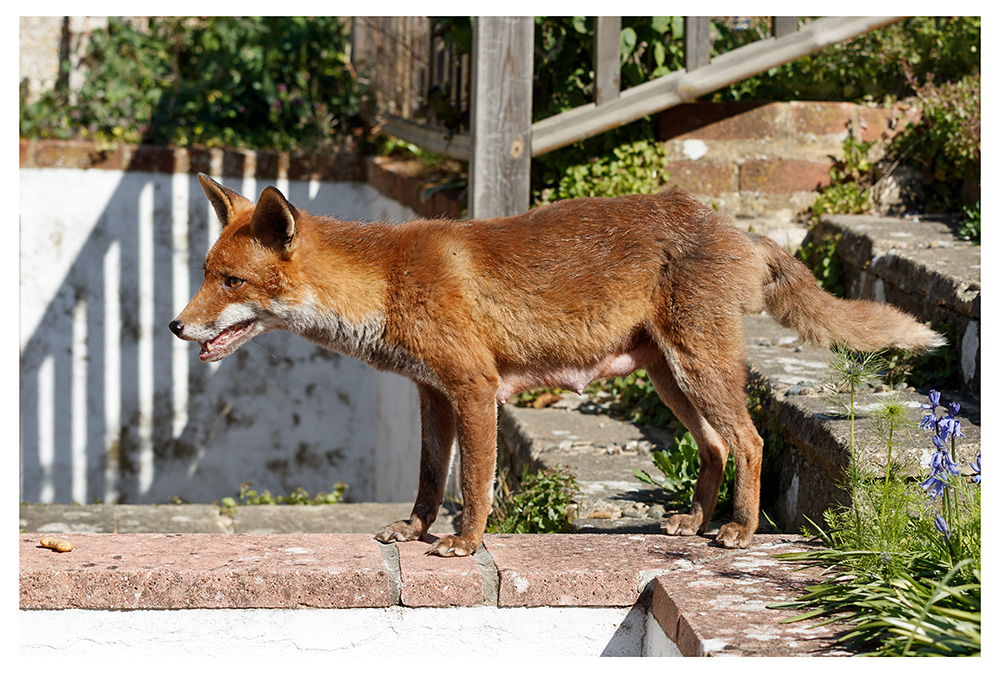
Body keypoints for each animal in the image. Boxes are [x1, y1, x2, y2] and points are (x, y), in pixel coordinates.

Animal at [170, 173, 944, 556]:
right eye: (207, 274)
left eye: (231, 283)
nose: (177, 326)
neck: (385, 283)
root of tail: (735, 227)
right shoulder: (432, 394)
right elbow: (429, 480)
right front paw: (415, 532)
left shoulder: (475, 389)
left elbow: (473, 483)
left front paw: (465, 544)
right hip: (669, 378)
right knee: (717, 446)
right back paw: (694, 522)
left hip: (699, 367)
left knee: (751, 441)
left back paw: (740, 531)